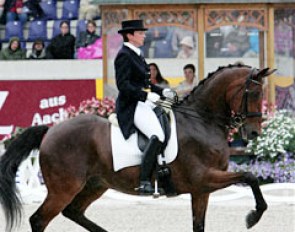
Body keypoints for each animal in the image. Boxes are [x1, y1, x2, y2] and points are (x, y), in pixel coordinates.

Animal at [0, 64, 276, 232]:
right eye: (253, 93)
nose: (253, 133)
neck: (201, 121)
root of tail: (50, 131)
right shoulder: (203, 178)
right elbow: (250, 176)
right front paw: (253, 216)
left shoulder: (201, 189)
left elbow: (199, 225)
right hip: (64, 187)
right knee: (39, 219)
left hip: (95, 184)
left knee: (73, 212)